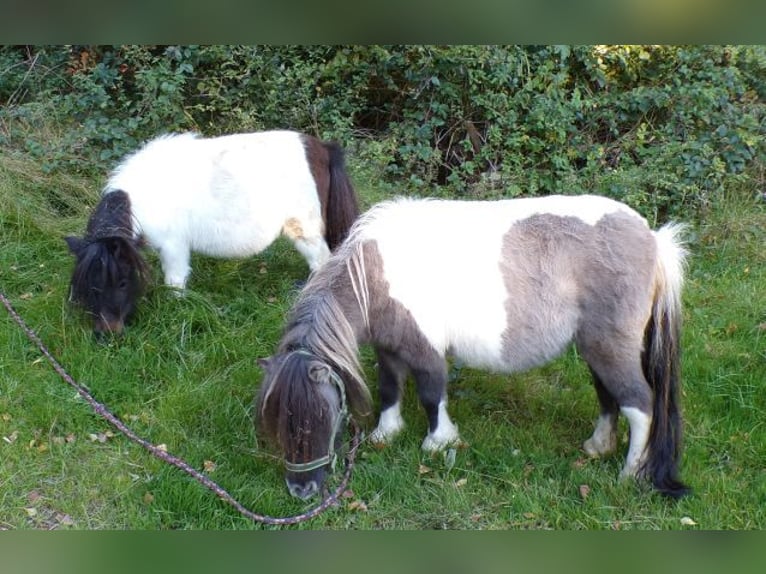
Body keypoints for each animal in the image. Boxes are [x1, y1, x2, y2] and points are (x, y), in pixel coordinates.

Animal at [65, 130, 359, 336]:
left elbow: (175, 282)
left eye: (123, 283)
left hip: (305, 231)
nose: (107, 334)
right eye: (90, 286)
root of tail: (323, 149)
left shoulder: (173, 247)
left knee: (321, 263)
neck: (146, 196)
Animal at [255, 194, 690, 500]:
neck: (376, 274)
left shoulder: (425, 351)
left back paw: (628, 475)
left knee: (640, 404)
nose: (301, 491)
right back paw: (597, 447)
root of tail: (653, 240)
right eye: (276, 420)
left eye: (316, 417)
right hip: (596, 348)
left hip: (609, 347)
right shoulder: (389, 350)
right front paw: (386, 433)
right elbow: (390, 389)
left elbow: (432, 393)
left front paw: (437, 442)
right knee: (609, 396)